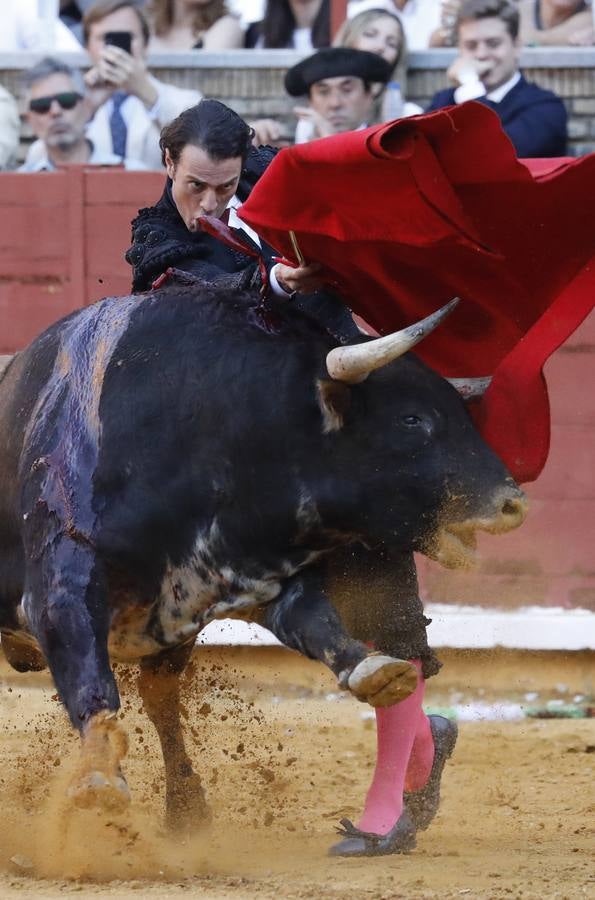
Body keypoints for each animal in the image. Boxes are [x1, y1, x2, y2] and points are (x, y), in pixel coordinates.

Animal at [0, 278, 524, 828]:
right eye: (411, 418)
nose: (513, 502)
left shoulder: (250, 577)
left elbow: (316, 622)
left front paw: (373, 669)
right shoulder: (61, 589)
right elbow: (90, 677)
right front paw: (99, 779)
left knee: (160, 697)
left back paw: (187, 810)